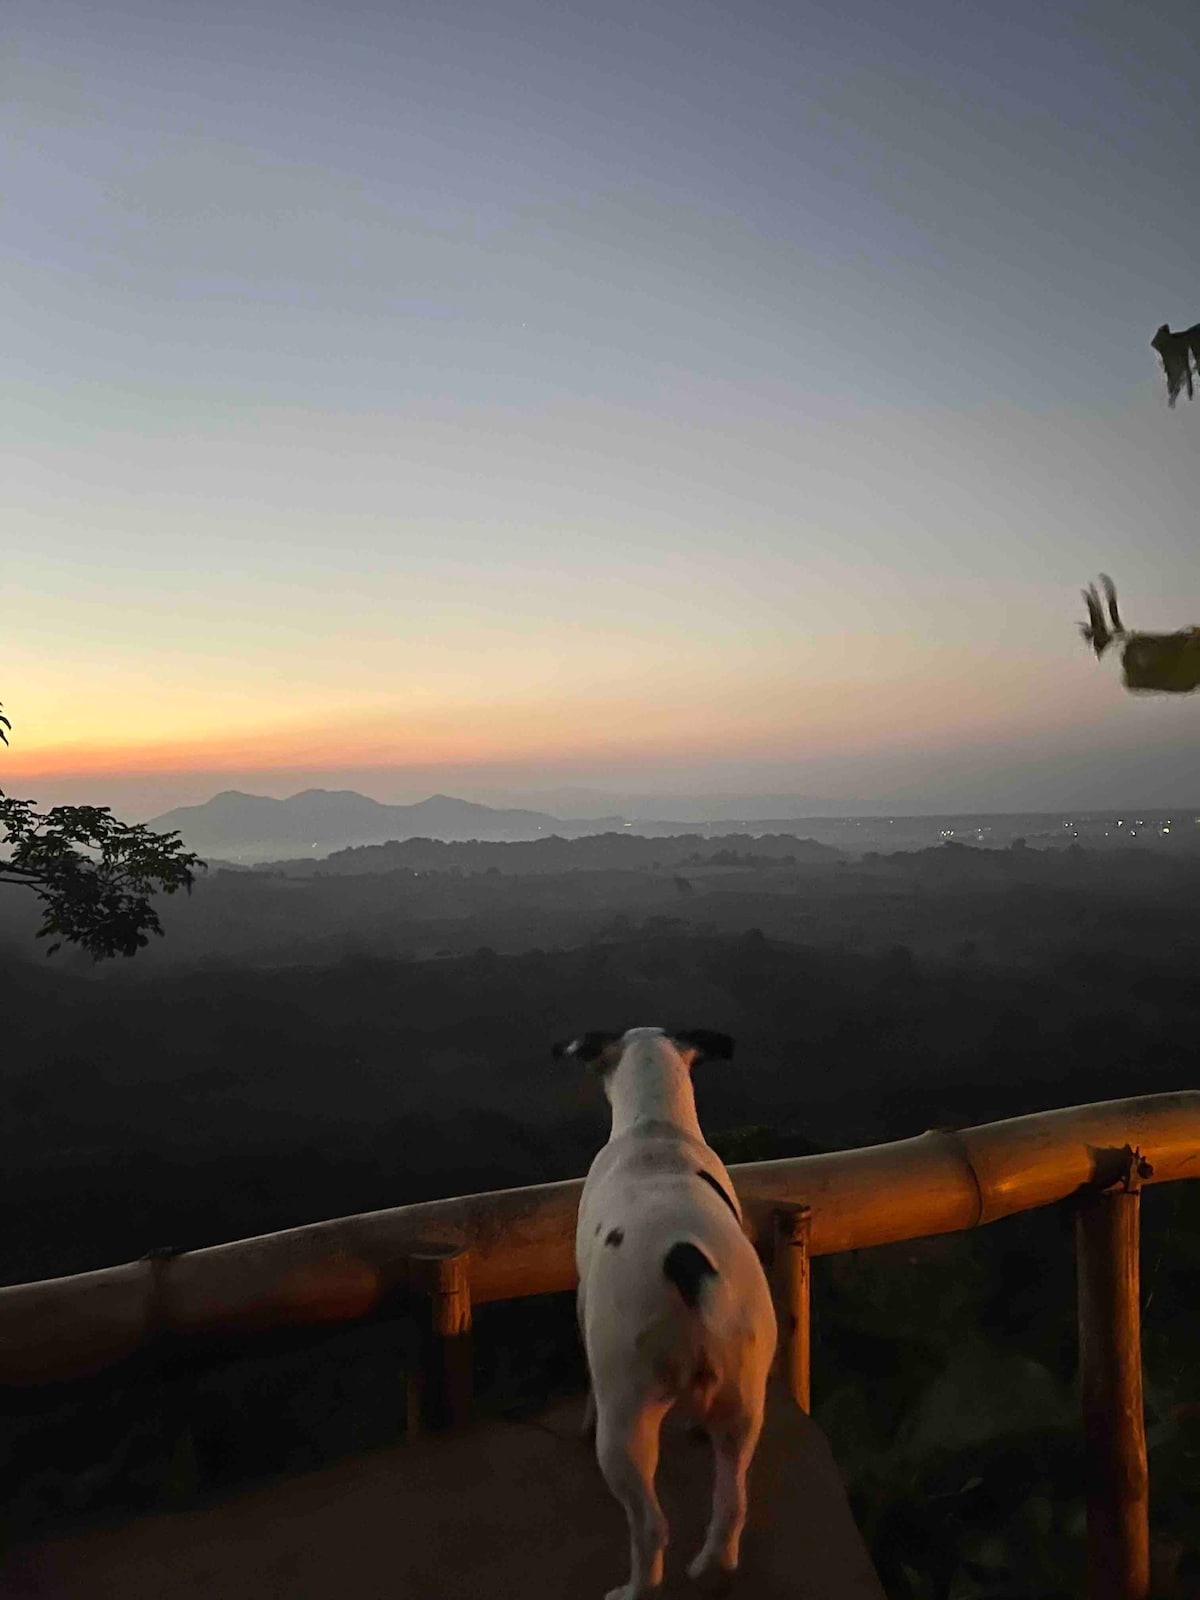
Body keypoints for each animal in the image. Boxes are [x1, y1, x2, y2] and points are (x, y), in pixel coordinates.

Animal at [556, 1024, 780, 1600]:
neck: (656, 1129)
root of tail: (689, 1268)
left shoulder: (586, 1306)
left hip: (627, 1426)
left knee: (651, 1527)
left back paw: (633, 1588)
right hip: (743, 1407)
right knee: (731, 1506)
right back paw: (714, 1564)